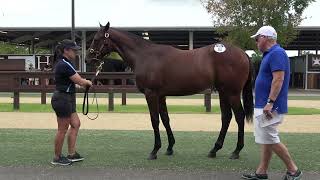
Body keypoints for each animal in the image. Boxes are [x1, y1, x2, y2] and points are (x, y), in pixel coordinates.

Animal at [84, 22, 252, 160]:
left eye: (97, 39)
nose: (87, 59)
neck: (145, 55)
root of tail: (243, 53)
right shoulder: (161, 95)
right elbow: (165, 118)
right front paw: (170, 147)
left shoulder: (151, 94)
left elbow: (154, 120)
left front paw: (154, 150)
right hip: (223, 92)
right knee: (226, 117)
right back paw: (214, 149)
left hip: (232, 93)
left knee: (239, 116)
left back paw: (236, 151)